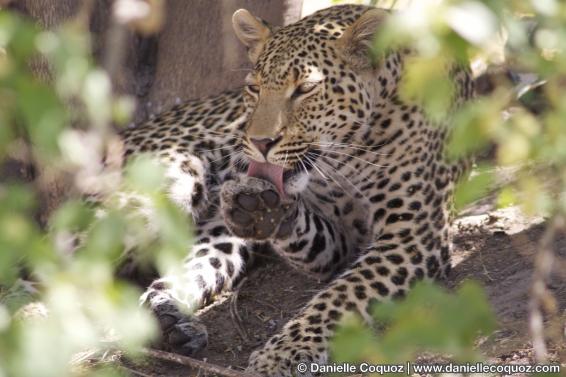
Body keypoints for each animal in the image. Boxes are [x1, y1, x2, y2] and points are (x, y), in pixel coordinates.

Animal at [122, 3, 478, 376]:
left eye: (305, 89)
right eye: (254, 88)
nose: (259, 142)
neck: (343, 158)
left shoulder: (410, 234)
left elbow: (342, 295)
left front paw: (282, 354)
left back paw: (171, 320)